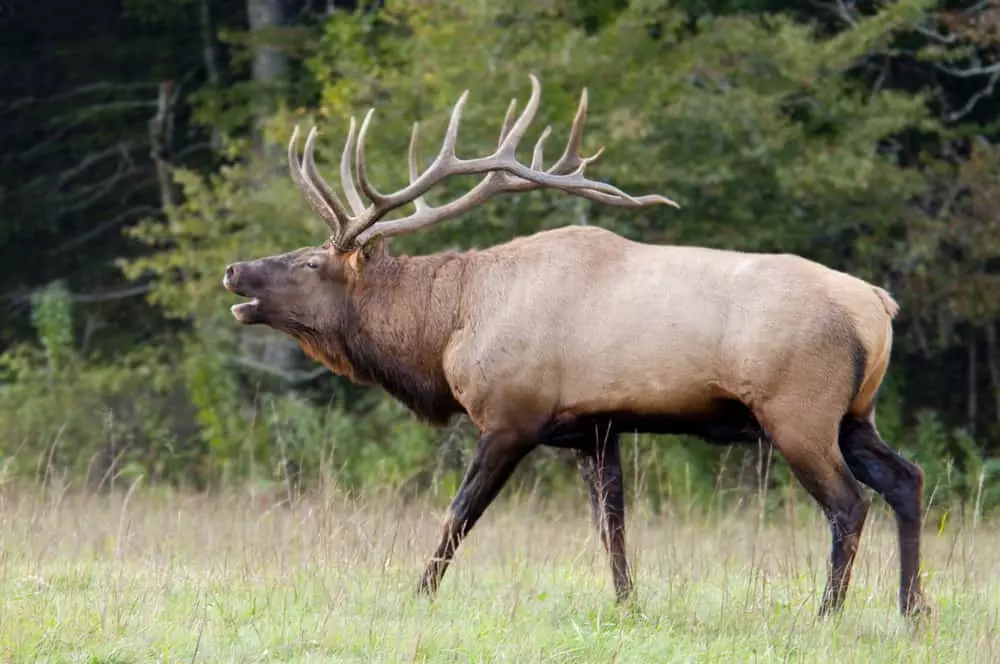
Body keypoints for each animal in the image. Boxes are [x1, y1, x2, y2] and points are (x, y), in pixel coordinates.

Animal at [222, 74, 929, 618]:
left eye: (311, 262)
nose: (234, 271)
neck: (449, 328)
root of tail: (880, 307)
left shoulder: (511, 416)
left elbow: (457, 515)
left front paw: (416, 593)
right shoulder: (596, 427)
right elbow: (612, 526)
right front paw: (627, 603)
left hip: (798, 411)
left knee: (850, 503)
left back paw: (828, 612)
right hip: (854, 414)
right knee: (907, 478)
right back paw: (912, 609)